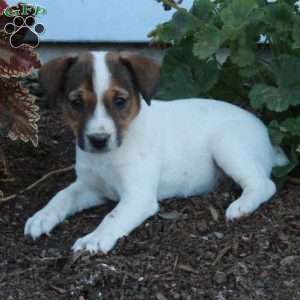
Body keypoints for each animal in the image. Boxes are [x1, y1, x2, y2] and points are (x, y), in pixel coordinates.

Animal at [25, 51, 288, 253]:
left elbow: (111, 216)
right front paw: (42, 216)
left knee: (264, 184)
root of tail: (265, 134)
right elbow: (61, 196)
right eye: (76, 103)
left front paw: (94, 238)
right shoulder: (90, 187)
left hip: (227, 145)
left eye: (120, 101)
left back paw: (241, 206)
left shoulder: (138, 197)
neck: (109, 157)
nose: (98, 140)